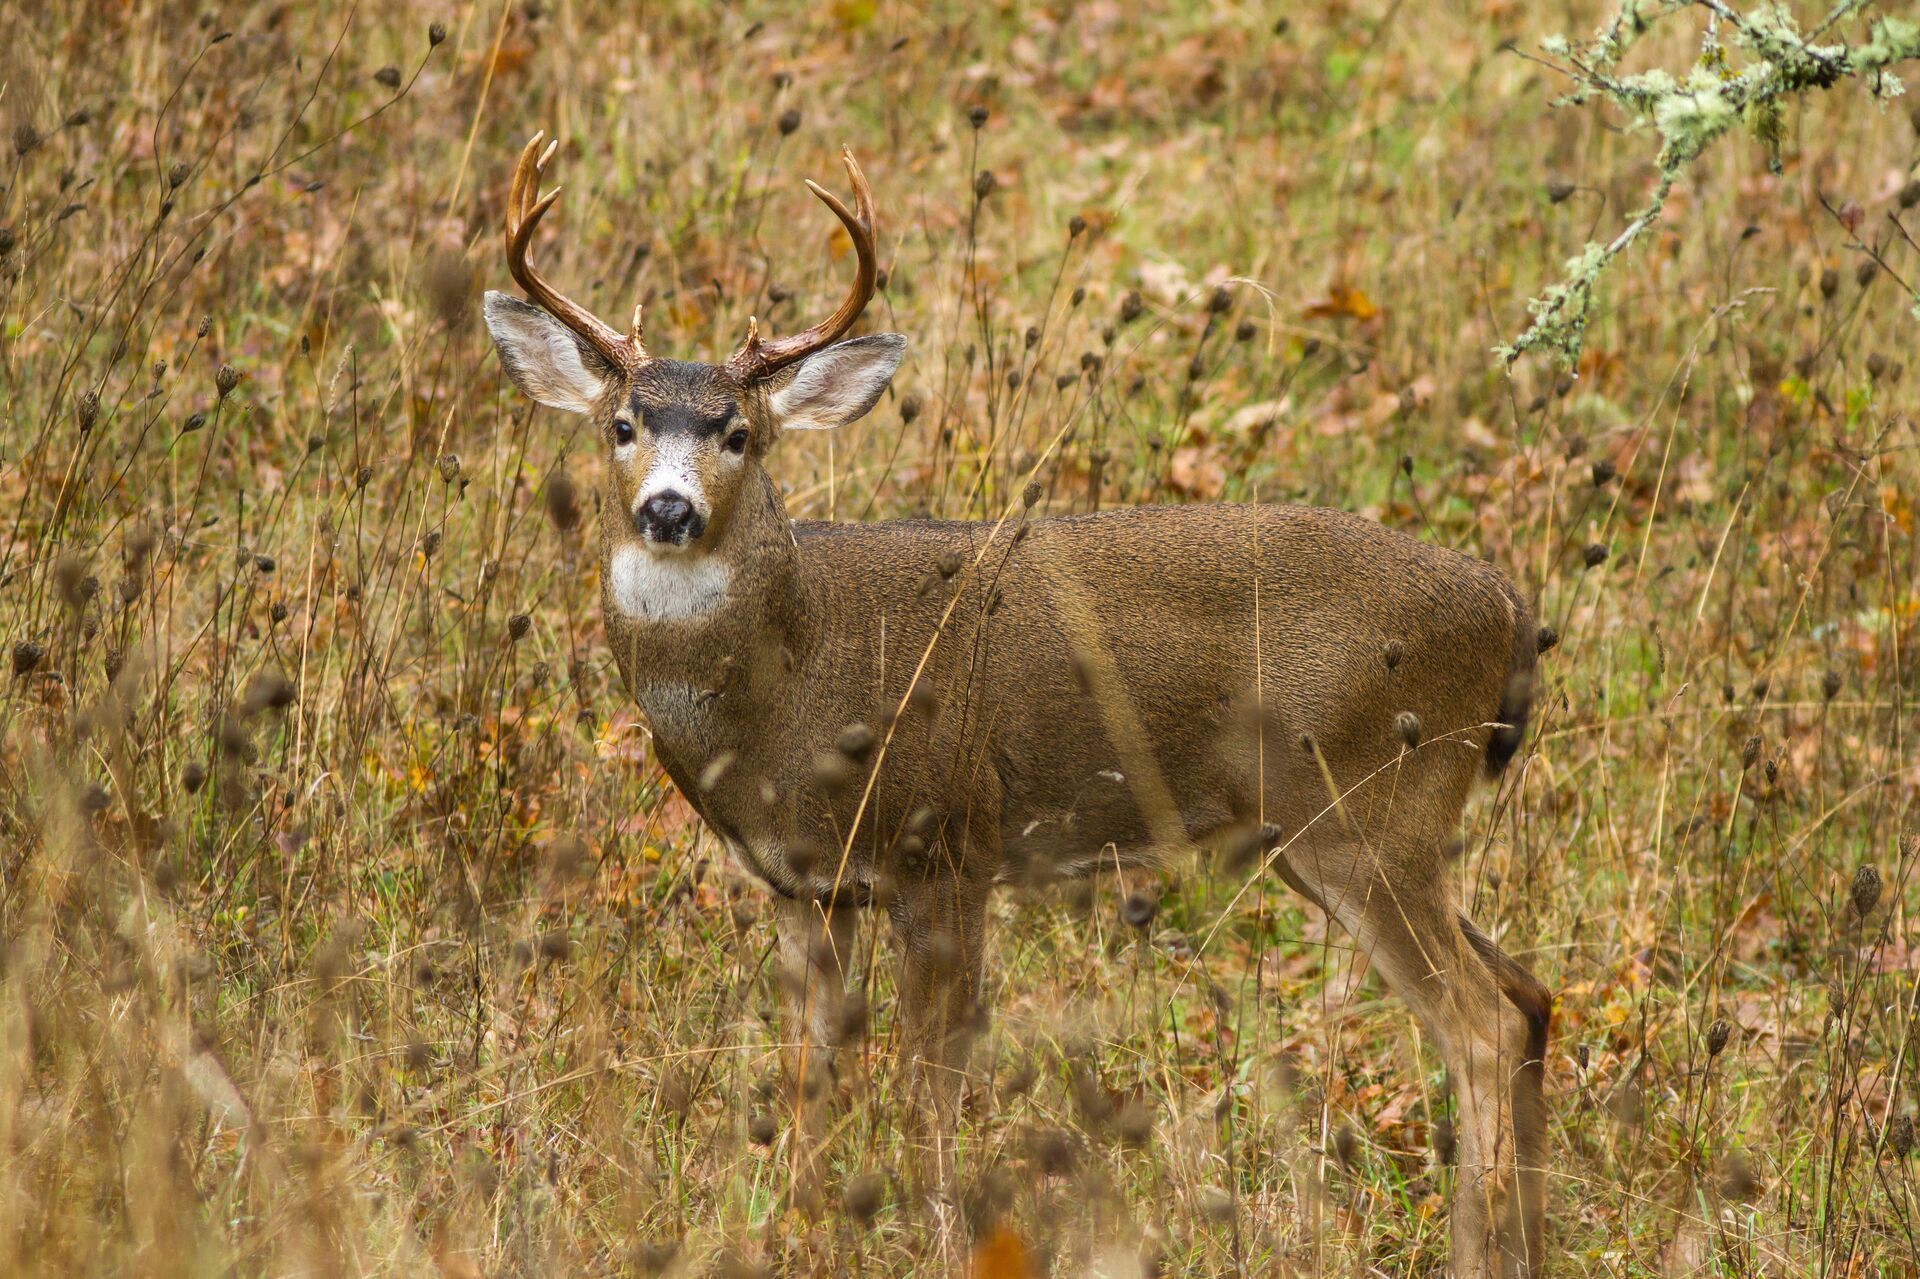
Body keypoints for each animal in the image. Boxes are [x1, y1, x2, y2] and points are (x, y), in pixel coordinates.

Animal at [483, 132, 1552, 1278]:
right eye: (622, 425)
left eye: (738, 434)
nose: (668, 509)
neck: (797, 695)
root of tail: (1506, 607)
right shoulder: (805, 886)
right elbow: (811, 1075)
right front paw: (796, 1224)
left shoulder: (948, 844)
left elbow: (929, 1082)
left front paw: (944, 1235)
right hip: (1355, 831)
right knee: (1529, 994)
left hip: (1371, 807)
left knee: (1482, 1024)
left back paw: (1478, 1248)